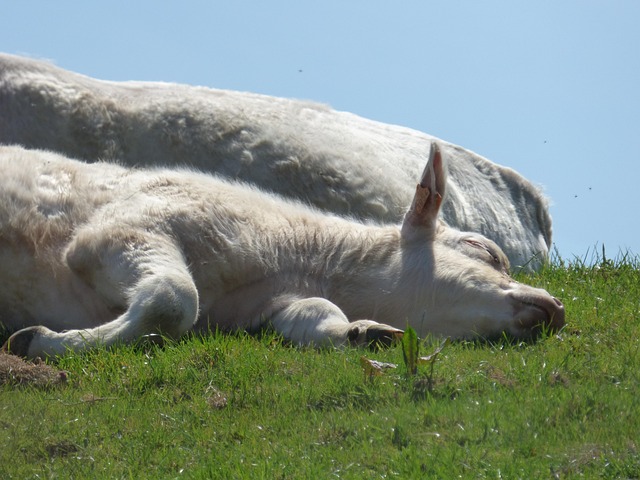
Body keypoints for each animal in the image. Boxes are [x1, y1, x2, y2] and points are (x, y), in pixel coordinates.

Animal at [0, 144, 564, 359]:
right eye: (484, 251)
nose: (556, 306)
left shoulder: (269, 307)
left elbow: (315, 315)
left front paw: (363, 332)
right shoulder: (116, 232)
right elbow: (172, 297)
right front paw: (42, 341)